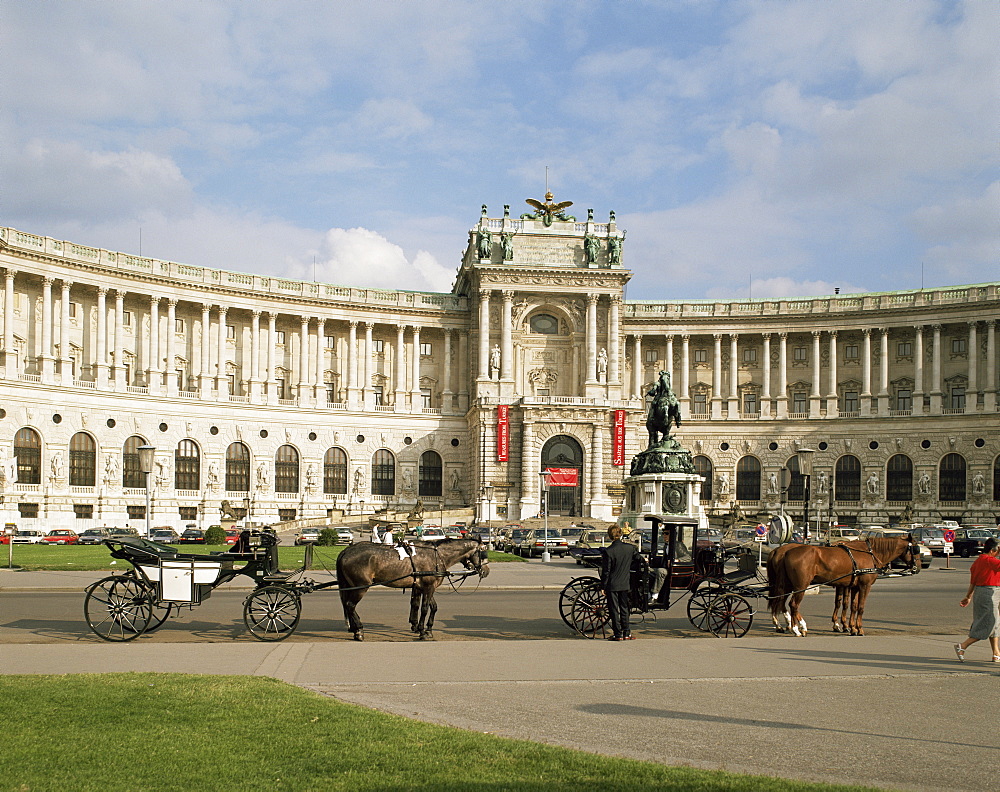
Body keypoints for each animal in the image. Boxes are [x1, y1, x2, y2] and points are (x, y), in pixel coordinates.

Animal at [336, 540, 488, 644]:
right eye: (483, 552)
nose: (486, 571)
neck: (436, 556)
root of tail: (346, 551)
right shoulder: (428, 587)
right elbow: (424, 608)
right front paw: (422, 631)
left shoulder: (425, 588)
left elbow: (432, 607)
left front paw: (428, 629)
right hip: (360, 587)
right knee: (350, 605)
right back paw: (359, 630)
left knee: (348, 606)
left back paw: (354, 628)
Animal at [768, 536, 916, 636]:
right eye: (915, 548)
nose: (916, 567)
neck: (869, 553)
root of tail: (783, 551)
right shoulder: (864, 586)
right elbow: (858, 607)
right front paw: (856, 628)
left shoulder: (852, 586)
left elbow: (850, 605)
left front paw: (850, 627)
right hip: (800, 586)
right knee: (793, 604)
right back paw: (796, 628)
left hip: (787, 584)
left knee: (780, 601)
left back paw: (786, 625)